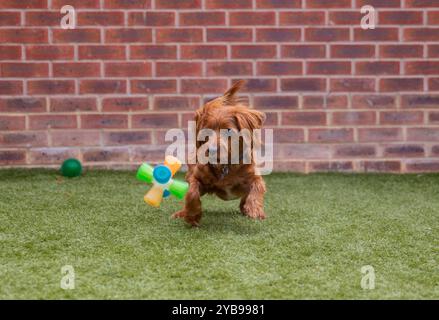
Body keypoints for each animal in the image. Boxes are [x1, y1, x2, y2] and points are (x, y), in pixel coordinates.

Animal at [174, 80, 266, 226]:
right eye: (207, 132)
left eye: (228, 130)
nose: (211, 150)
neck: (225, 165)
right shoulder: (196, 176)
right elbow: (191, 192)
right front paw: (192, 215)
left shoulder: (253, 175)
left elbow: (258, 186)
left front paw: (254, 209)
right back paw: (182, 212)